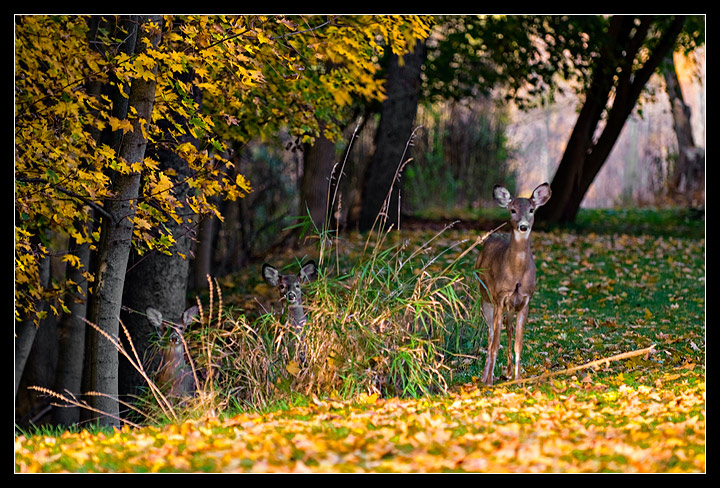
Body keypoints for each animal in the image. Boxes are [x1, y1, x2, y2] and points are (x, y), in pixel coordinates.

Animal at [478, 182, 552, 386]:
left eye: (532, 210)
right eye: (512, 210)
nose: (523, 226)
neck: (516, 274)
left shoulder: (525, 300)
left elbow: (519, 343)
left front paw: (518, 380)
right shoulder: (499, 298)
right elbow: (495, 343)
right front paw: (489, 381)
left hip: (510, 307)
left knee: (509, 329)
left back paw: (508, 372)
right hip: (485, 299)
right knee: (490, 335)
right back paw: (485, 377)